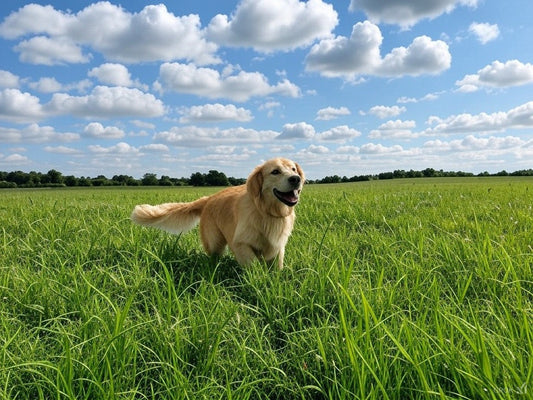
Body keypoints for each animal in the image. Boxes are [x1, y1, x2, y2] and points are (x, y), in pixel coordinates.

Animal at [131, 157, 304, 268]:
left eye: (293, 169)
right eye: (275, 171)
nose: (296, 179)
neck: (267, 212)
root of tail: (208, 198)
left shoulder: (278, 247)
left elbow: (277, 268)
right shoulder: (241, 243)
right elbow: (253, 266)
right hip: (214, 242)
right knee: (213, 256)